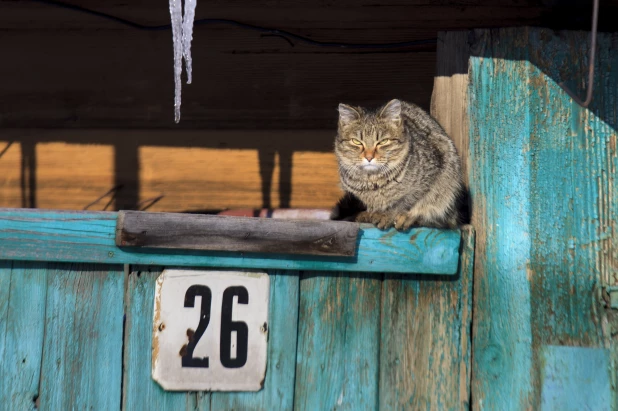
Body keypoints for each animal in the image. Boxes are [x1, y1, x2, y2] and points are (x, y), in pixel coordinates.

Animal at [330, 98, 464, 230]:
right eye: (356, 142)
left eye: (383, 141)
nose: (369, 157)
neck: (372, 180)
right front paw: (369, 213)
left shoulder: (431, 177)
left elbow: (405, 202)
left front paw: (390, 215)